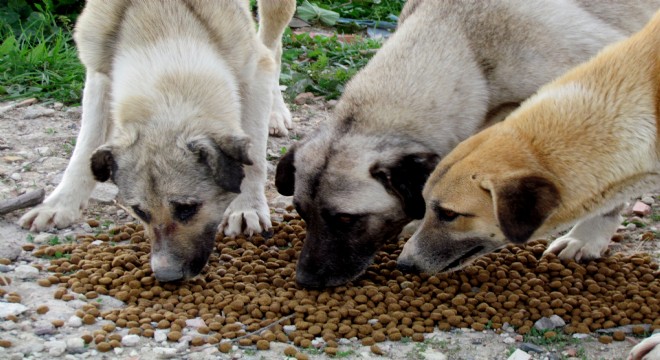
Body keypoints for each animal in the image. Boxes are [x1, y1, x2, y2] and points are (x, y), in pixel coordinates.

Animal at [19, 0, 296, 282]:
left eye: (188, 208)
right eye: (139, 212)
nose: (166, 275)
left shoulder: (253, 70)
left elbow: (254, 159)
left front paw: (247, 207)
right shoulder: (98, 74)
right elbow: (85, 148)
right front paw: (60, 204)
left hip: (276, 11)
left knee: (273, 48)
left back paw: (276, 113)